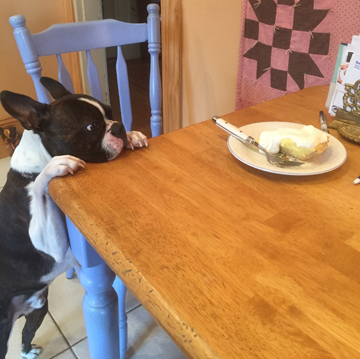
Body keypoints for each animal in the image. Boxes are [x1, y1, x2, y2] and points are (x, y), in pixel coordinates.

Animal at [0, 77, 148, 358]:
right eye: (92, 127)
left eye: (111, 112)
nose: (119, 127)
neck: (31, 168)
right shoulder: (52, 246)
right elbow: (40, 185)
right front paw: (56, 166)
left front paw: (134, 135)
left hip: (39, 308)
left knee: (26, 332)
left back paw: (28, 351)